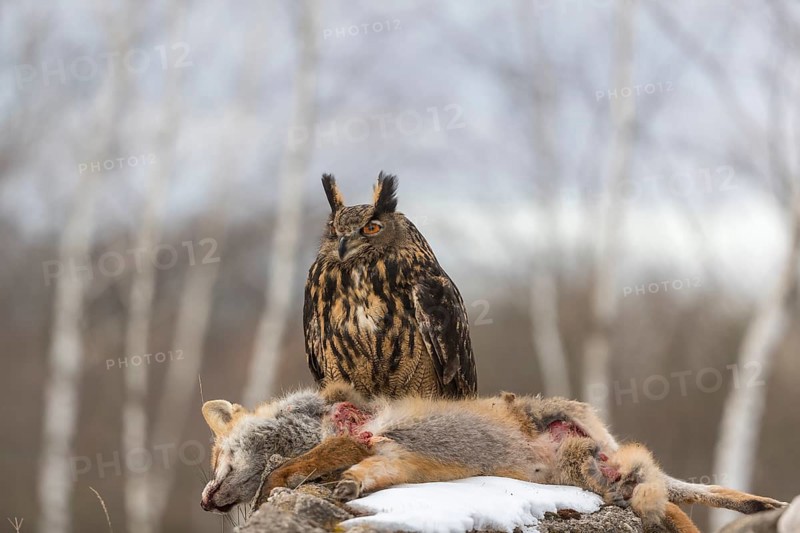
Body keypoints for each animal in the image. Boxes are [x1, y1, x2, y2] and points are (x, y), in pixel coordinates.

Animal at [200, 382, 786, 533]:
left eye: (215, 455)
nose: (206, 501)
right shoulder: (392, 458)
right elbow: (362, 478)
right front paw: (345, 488)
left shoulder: (359, 436)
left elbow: (290, 468)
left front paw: (281, 483)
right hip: (609, 480)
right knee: (674, 499)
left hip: (601, 445)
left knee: (678, 501)